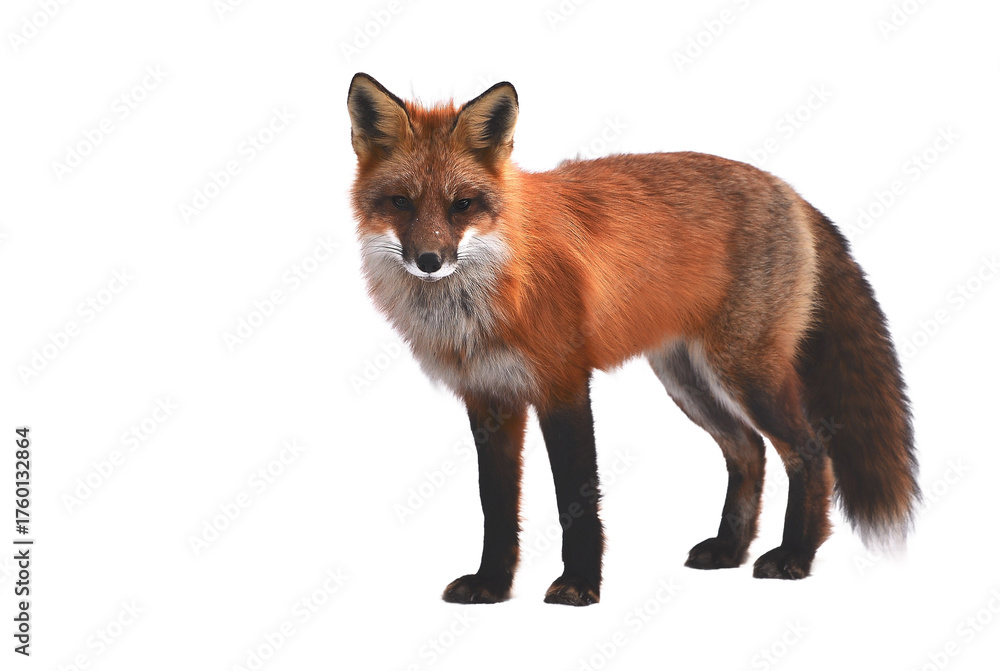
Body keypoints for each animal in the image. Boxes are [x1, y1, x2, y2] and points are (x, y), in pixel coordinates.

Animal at [347, 73, 919, 606]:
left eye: (462, 205)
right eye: (400, 202)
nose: (429, 261)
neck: (491, 293)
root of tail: (789, 191)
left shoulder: (563, 384)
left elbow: (575, 497)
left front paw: (579, 585)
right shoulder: (489, 399)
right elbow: (496, 506)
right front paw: (492, 584)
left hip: (746, 372)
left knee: (811, 452)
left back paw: (796, 555)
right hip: (687, 380)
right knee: (748, 450)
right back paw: (729, 550)